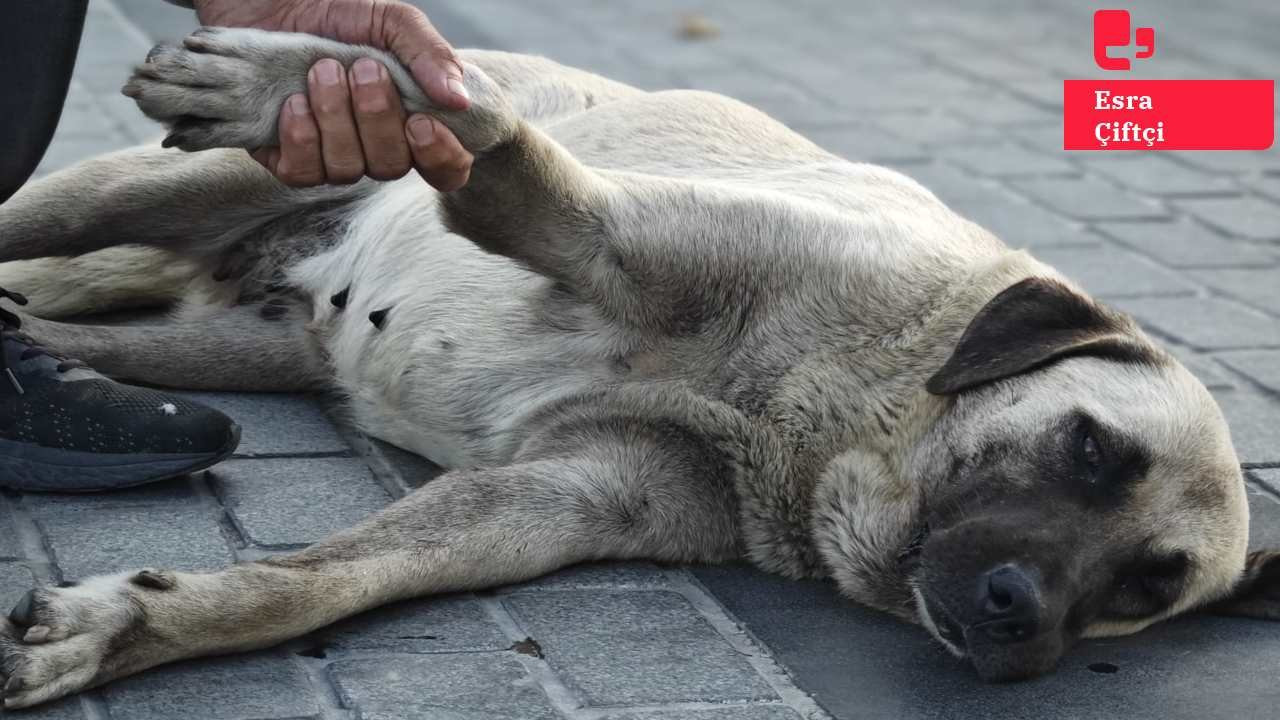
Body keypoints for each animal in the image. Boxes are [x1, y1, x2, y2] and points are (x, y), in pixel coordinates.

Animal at [0, 28, 1274, 707]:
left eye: (1146, 587)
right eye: (1088, 446)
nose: (1022, 619)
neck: (819, 418)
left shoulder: (549, 496)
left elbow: (319, 582)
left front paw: (132, 625)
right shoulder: (594, 229)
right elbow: (484, 135)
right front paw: (290, 78)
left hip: (238, 344)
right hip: (128, 197)